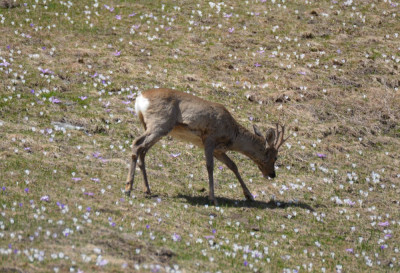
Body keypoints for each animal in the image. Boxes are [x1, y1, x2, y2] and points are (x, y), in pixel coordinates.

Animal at [124, 88, 288, 203]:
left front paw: (249, 195)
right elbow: (210, 166)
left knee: (143, 150)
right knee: (137, 144)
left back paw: (147, 190)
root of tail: (140, 99)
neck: (231, 133)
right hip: (159, 124)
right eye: (275, 157)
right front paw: (212, 198)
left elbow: (233, 165)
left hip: (153, 127)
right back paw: (128, 188)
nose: (272, 174)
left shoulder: (218, 150)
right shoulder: (209, 139)